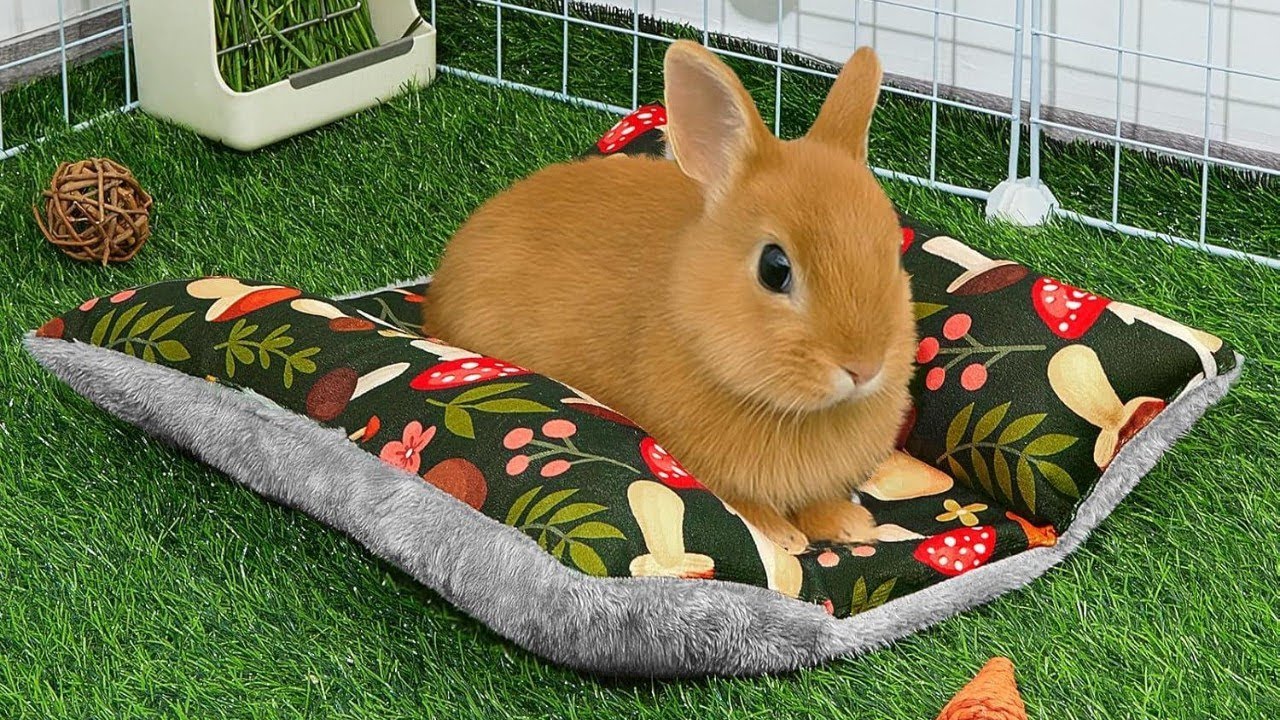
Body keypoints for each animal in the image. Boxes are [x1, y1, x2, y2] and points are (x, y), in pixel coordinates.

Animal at [423, 40, 916, 555]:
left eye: (892, 253)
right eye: (774, 268)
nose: (864, 368)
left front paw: (850, 524)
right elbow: (749, 505)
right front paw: (785, 540)